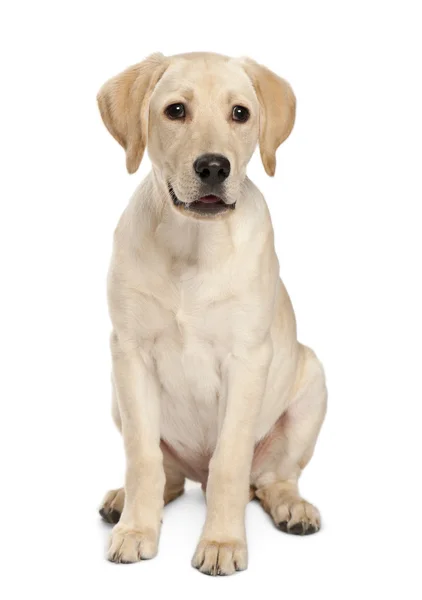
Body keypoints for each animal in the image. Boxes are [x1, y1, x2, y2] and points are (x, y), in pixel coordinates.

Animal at [97, 52, 328, 576]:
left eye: (240, 113)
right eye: (176, 111)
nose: (213, 167)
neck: (192, 245)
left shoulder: (246, 361)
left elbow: (229, 462)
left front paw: (222, 542)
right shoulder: (130, 354)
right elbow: (142, 457)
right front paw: (137, 531)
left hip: (312, 385)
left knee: (271, 477)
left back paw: (293, 508)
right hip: (119, 399)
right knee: (168, 476)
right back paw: (126, 503)